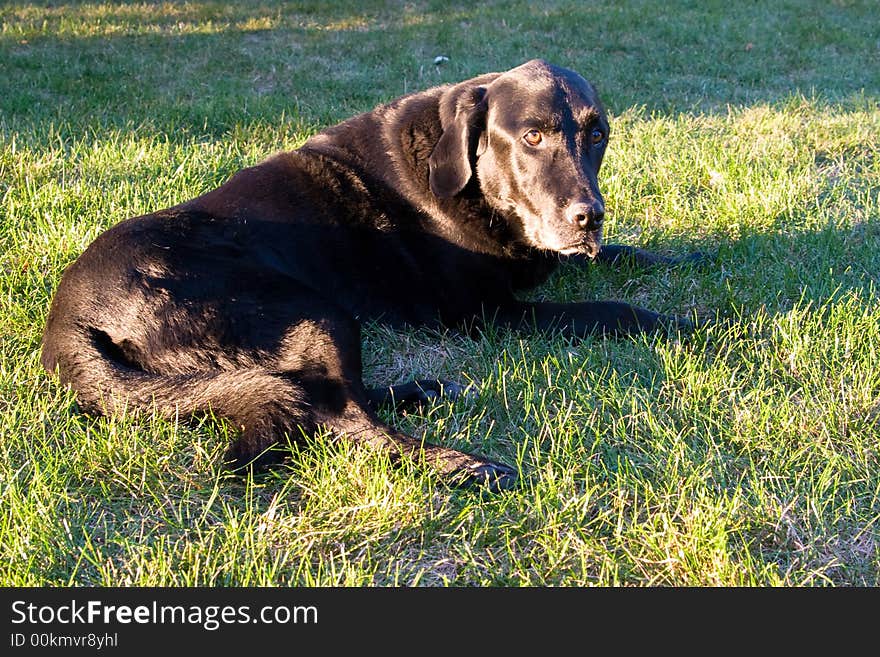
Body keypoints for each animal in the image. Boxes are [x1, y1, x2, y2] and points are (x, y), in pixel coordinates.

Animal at [41, 60, 700, 492]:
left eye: (597, 134)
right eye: (532, 135)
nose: (588, 215)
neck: (459, 173)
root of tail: (68, 323)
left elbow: (625, 254)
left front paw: (687, 260)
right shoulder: (488, 312)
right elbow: (607, 309)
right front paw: (693, 322)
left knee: (318, 394)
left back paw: (420, 391)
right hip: (311, 311)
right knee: (337, 416)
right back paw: (460, 464)